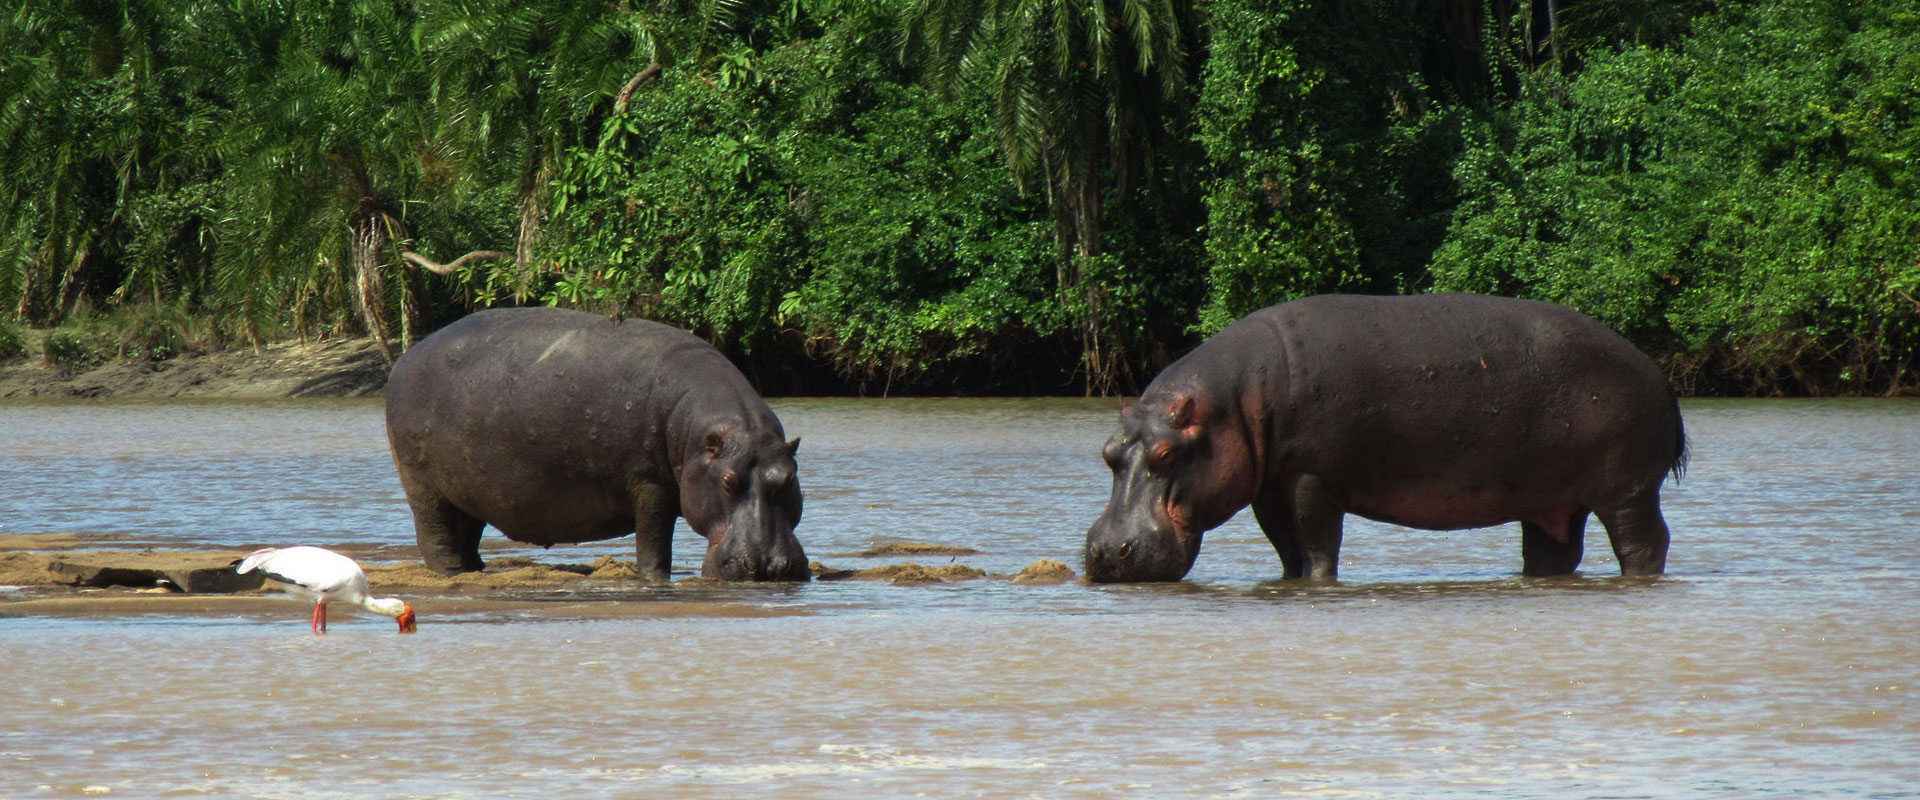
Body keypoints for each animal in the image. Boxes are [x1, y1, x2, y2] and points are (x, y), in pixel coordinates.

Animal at [385, 305, 806, 579]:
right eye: (727, 482)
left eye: (788, 480)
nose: (768, 567)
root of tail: (406, 357)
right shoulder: (649, 485)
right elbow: (654, 543)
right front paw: (654, 580)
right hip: (423, 484)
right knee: (435, 535)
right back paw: (451, 574)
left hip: (468, 487)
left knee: (466, 531)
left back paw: (477, 572)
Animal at [1090, 293, 1689, 579]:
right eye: (1107, 453)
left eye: (1166, 454)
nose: (1103, 551)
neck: (1234, 403)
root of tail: (1660, 375)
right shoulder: (1268, 486)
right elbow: (1286, 549)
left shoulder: (1311, 477)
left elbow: (1316, 545)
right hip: (1552, 502)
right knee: (1553, 552)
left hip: (1628, 491)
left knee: (1645, 543)